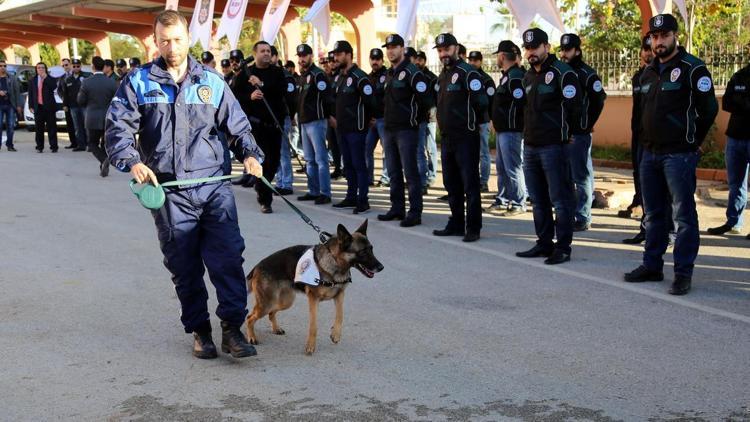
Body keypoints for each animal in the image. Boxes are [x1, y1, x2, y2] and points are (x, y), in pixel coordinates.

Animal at [247, 219, 384, 354]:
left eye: (371, 249)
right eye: (362, 252)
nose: (381, 267)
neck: (334, 261)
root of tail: (257, 267)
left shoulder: (339, 295)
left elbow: (340, 315)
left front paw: (336, 334)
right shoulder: (313, 299)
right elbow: (314, 326)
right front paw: (310, 346)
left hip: (285, 302)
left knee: (271, 313)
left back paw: (276, 329)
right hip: (267, 303)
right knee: (250, 317)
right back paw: (251, 337)